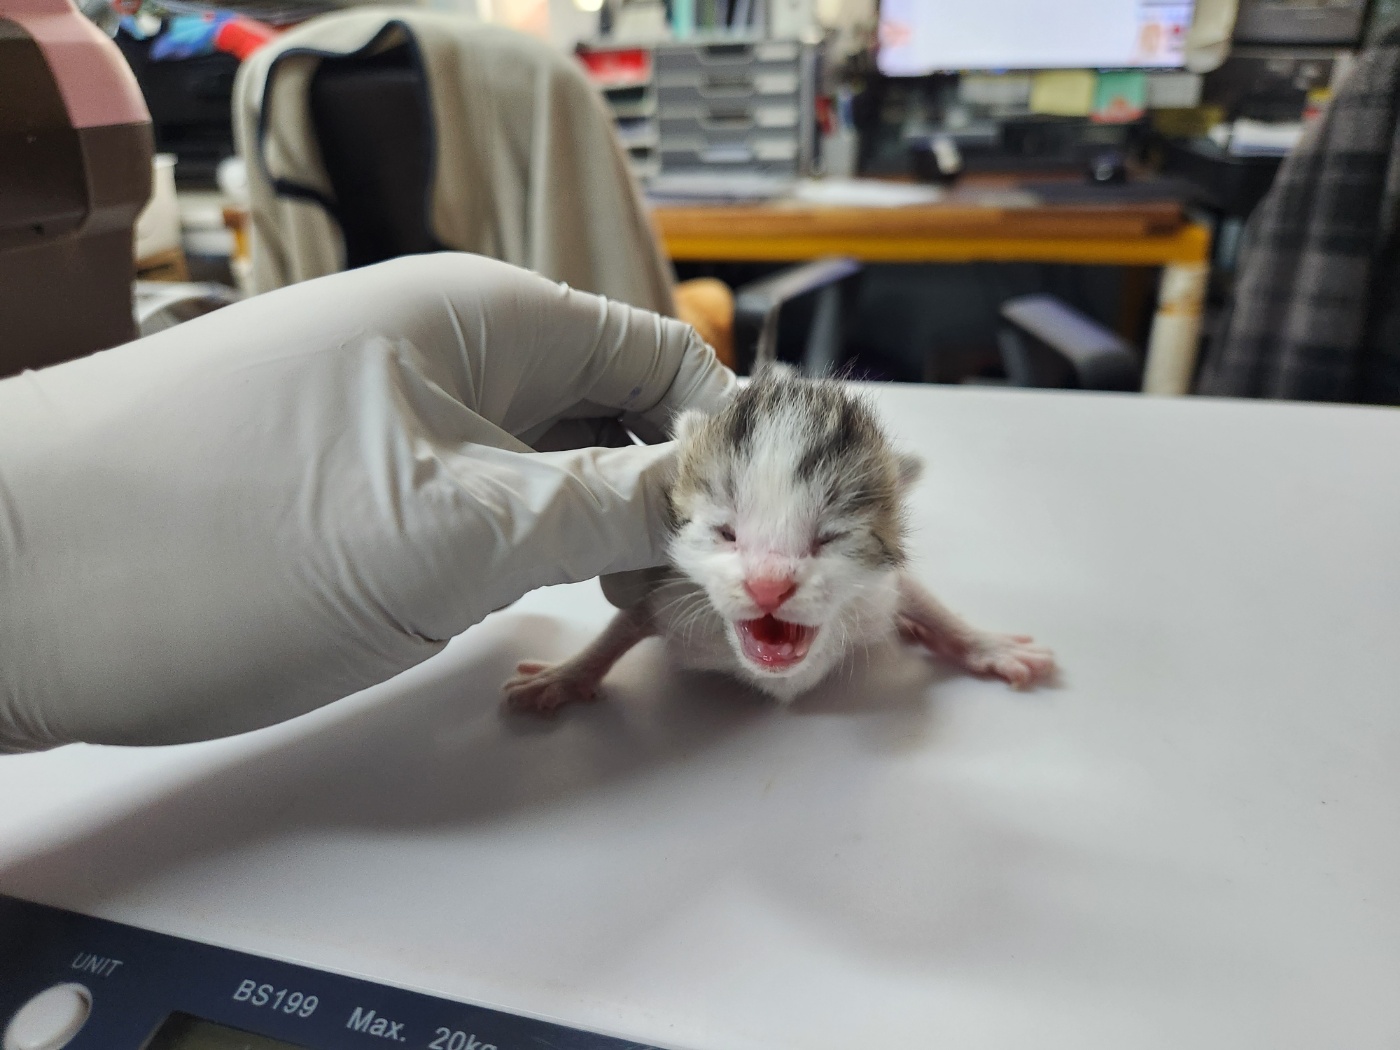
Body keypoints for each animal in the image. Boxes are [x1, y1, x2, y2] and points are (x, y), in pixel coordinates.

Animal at [504, 364, 1052, 716]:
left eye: (830, 538)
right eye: (725, 532)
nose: (768, 586)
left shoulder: (878, 592)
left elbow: (921, 597)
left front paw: (987, 644)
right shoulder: (671, 596)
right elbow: (623, 625)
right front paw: (565, 675)